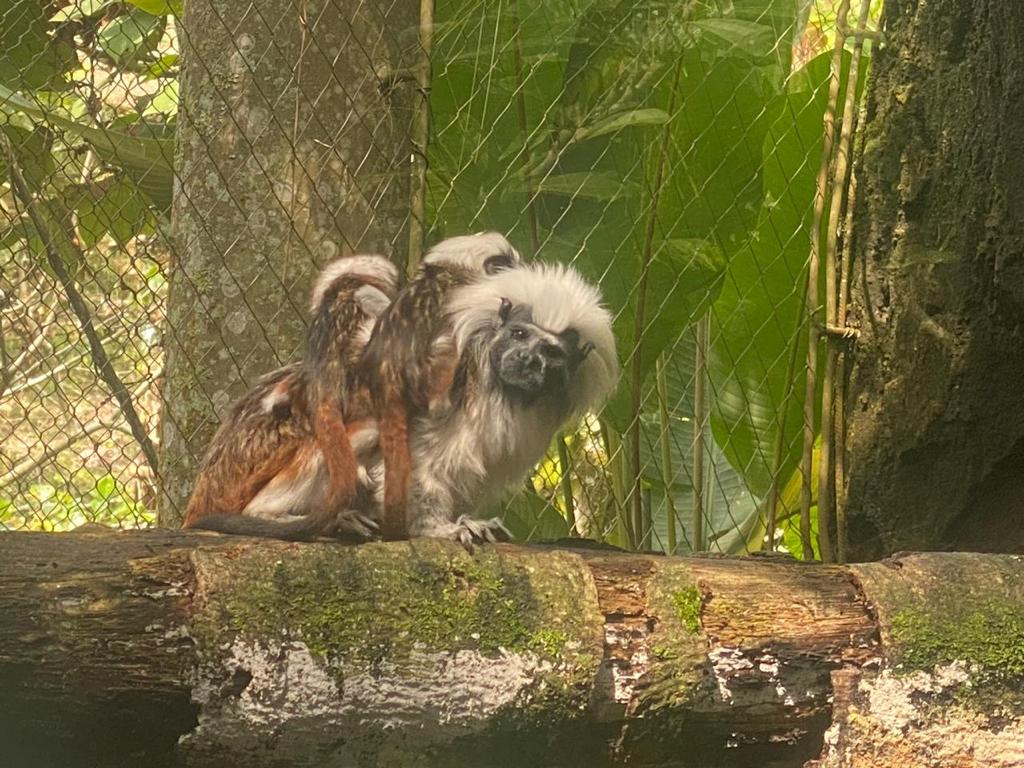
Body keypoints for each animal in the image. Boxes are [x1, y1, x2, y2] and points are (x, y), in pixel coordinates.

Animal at [358, 262, 619, 548]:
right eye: (519, 334)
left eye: (551, 353)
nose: (527, 358)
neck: (492, 389)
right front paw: (434, 527)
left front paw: (469, 522)